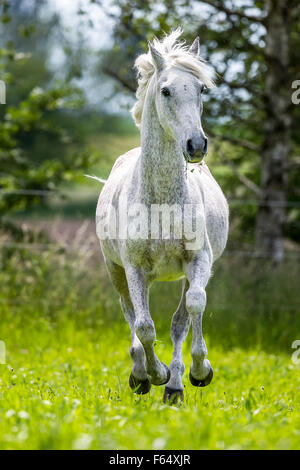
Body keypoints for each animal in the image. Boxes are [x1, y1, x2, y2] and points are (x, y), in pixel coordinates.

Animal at [96, 30, 230, 404]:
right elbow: (143, 325)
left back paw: (175, 387)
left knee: (179, 321)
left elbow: (193, 308)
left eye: (201, 90)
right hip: (117, 272)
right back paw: (142, 376)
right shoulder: (134, 268)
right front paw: (154, 374)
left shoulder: (199, 259)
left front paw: (199, 372)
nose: (196, 145)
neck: (161, 202)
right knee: (131, 314)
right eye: (166, 91)